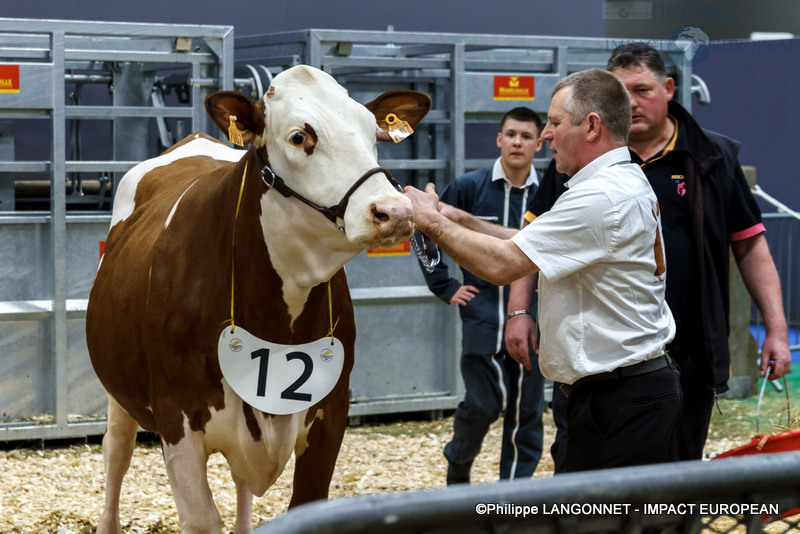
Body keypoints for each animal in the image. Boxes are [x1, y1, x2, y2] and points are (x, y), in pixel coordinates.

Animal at [86, 66, 432, 534]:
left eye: (372, 131)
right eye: (300, 136)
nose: (395, 211)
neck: (276, 322)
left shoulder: (331, 413)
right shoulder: (177, 420)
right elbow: (201, 519)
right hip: (119, 390)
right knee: (116, 451)